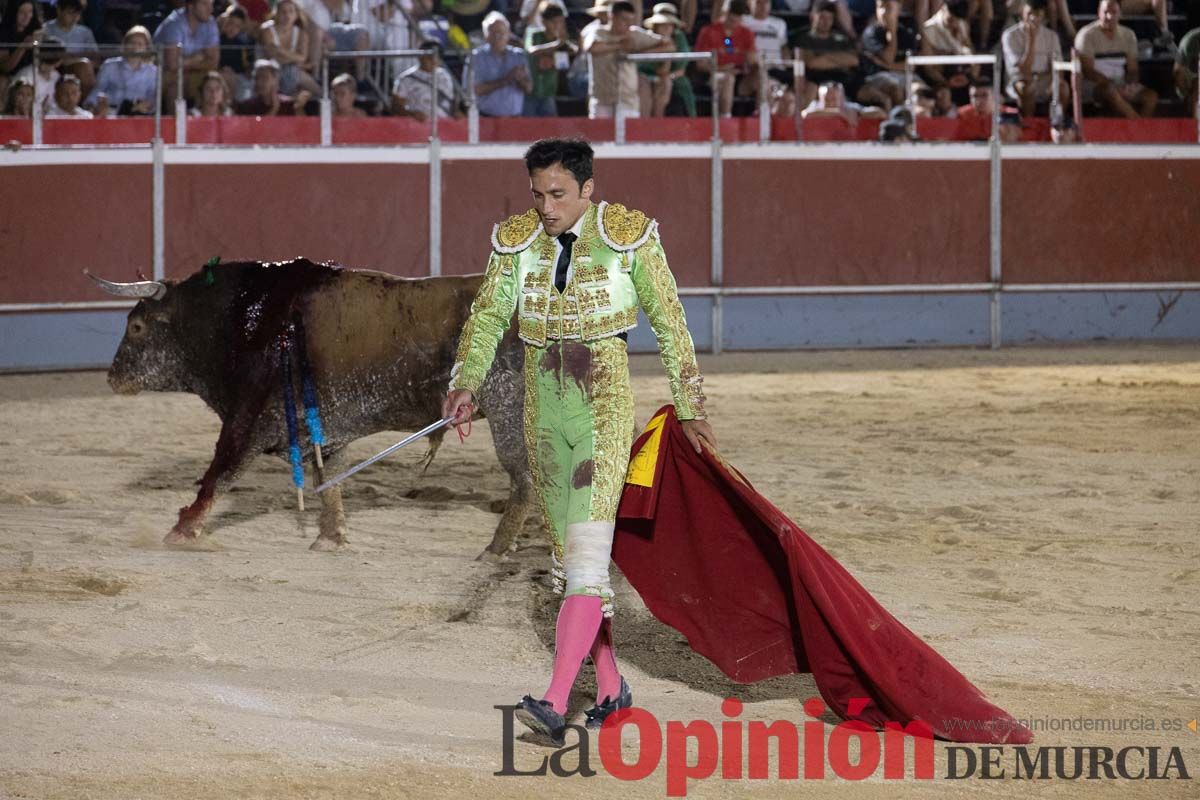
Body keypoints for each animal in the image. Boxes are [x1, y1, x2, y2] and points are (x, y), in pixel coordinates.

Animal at [88, 257, 530, 556]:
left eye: (137, 327)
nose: (113, 378)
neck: (242, 320)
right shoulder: (324, 435)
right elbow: (328, 484)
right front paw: (330, 538)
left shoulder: (247, 421)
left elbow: (219, 476)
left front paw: (180, 532)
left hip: (507, 410)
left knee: (524, 481)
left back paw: (494, 550)